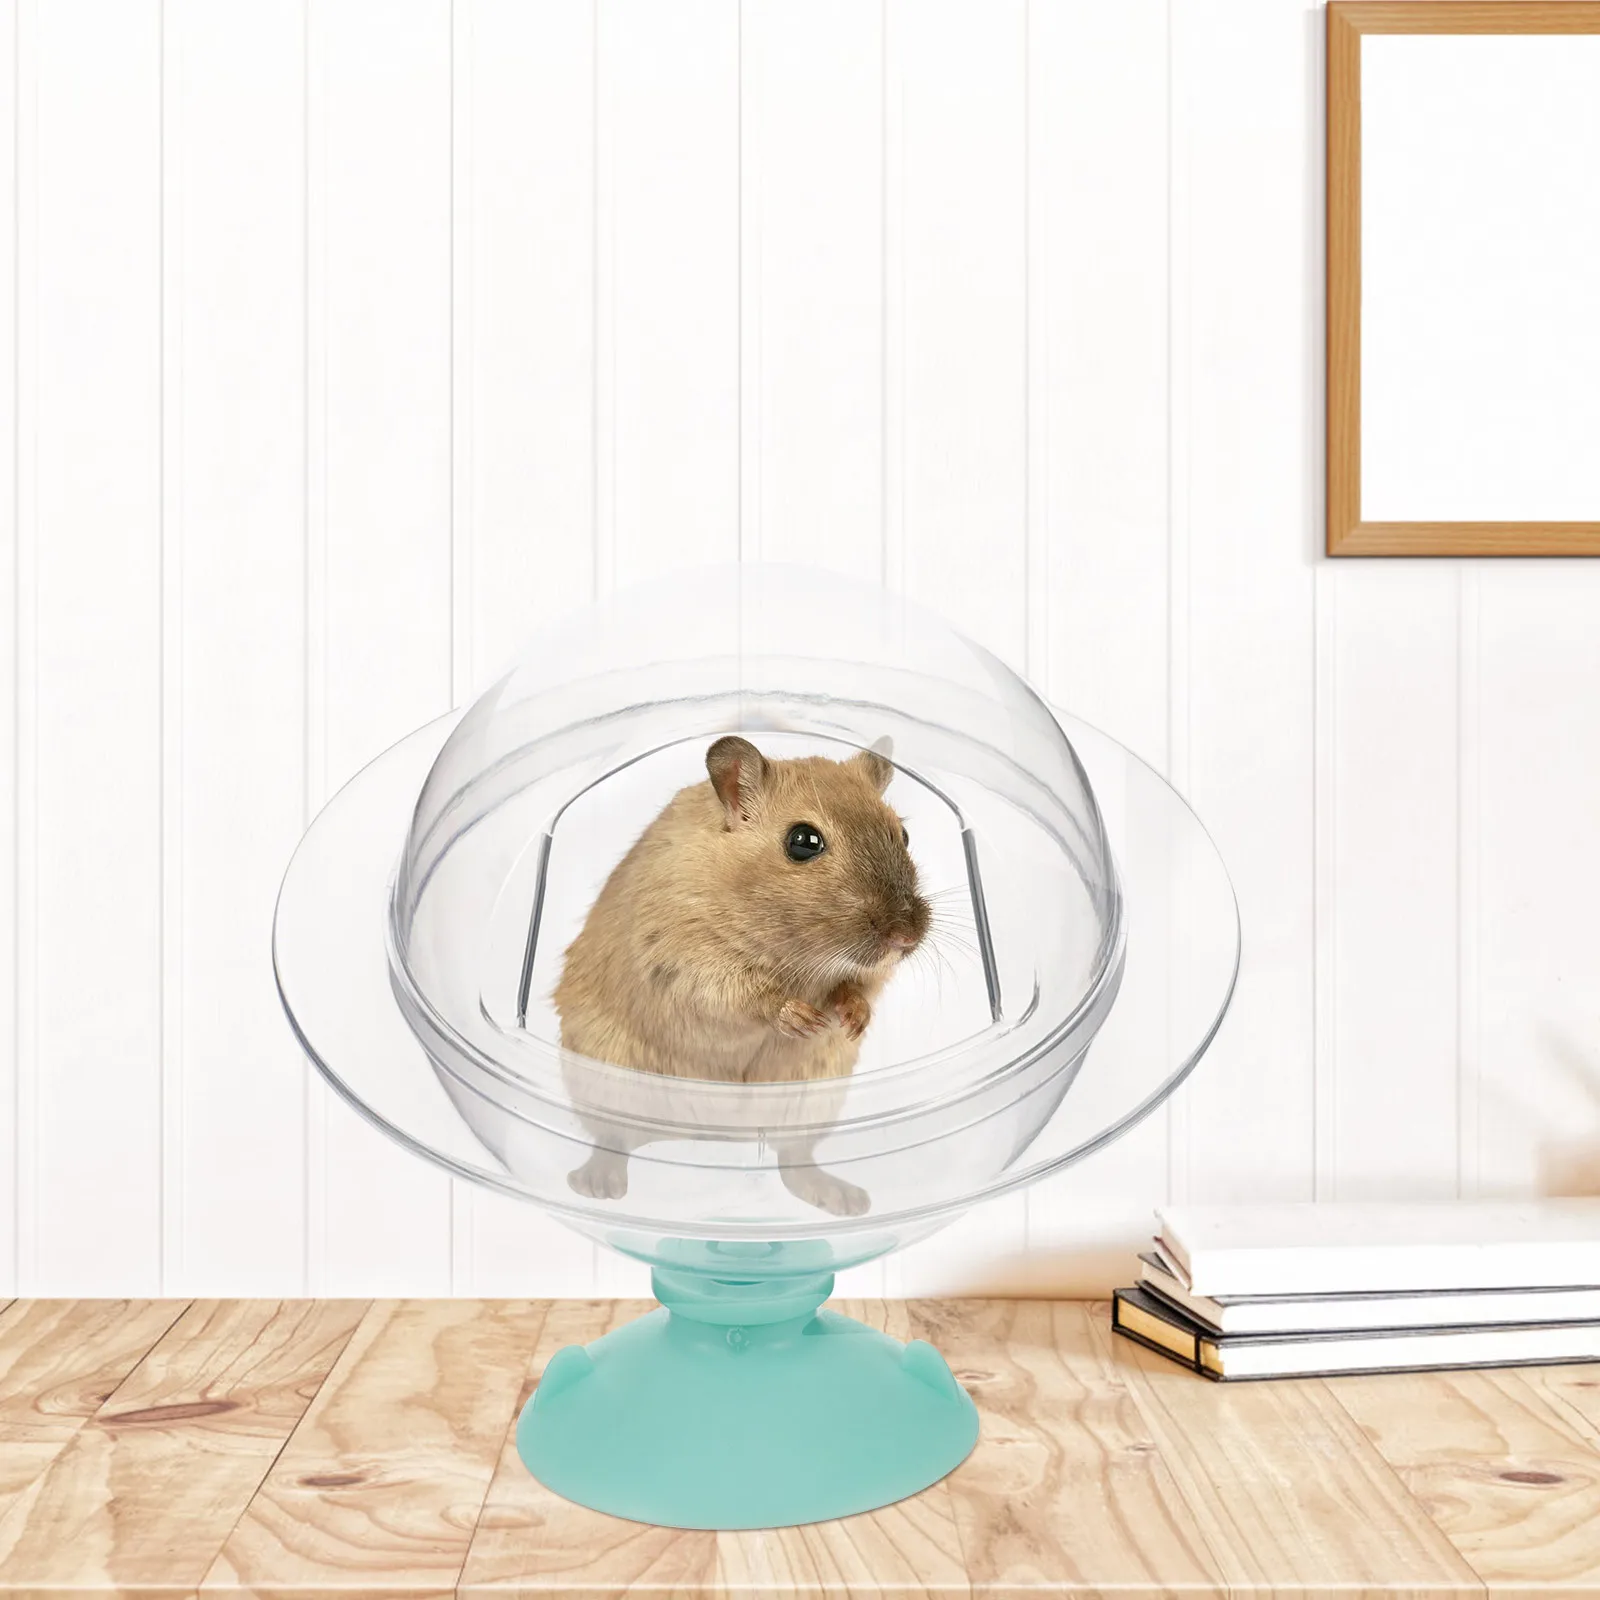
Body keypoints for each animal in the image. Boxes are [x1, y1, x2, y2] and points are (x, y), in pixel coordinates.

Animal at [554, 735, 930, 1216]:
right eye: (803, 842)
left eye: (903, 834)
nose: (906, 937)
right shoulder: (686, 957)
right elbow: (748, 996)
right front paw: (803, 1019)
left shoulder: (864, 974)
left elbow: (858, 987)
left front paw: (851, 1020)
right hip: (608, 1084)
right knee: (612, 1142)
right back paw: (597, 1186)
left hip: (810, 1097)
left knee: (792, 1160)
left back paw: (846, 1200)